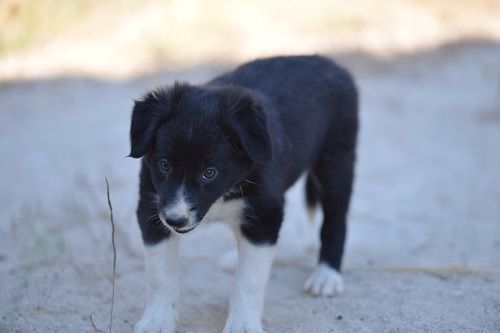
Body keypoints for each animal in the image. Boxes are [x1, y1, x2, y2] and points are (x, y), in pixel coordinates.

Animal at [128, 55, 356, 332]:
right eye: (164, 165)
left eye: (209, 173)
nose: (175, 220)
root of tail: (327, 61)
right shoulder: (152, 206)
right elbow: (160, 274)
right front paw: (157, 320)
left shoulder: (266, 214)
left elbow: (250, 278)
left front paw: (243, 323)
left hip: (337, 159)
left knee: (335, 220)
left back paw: (326, 275)